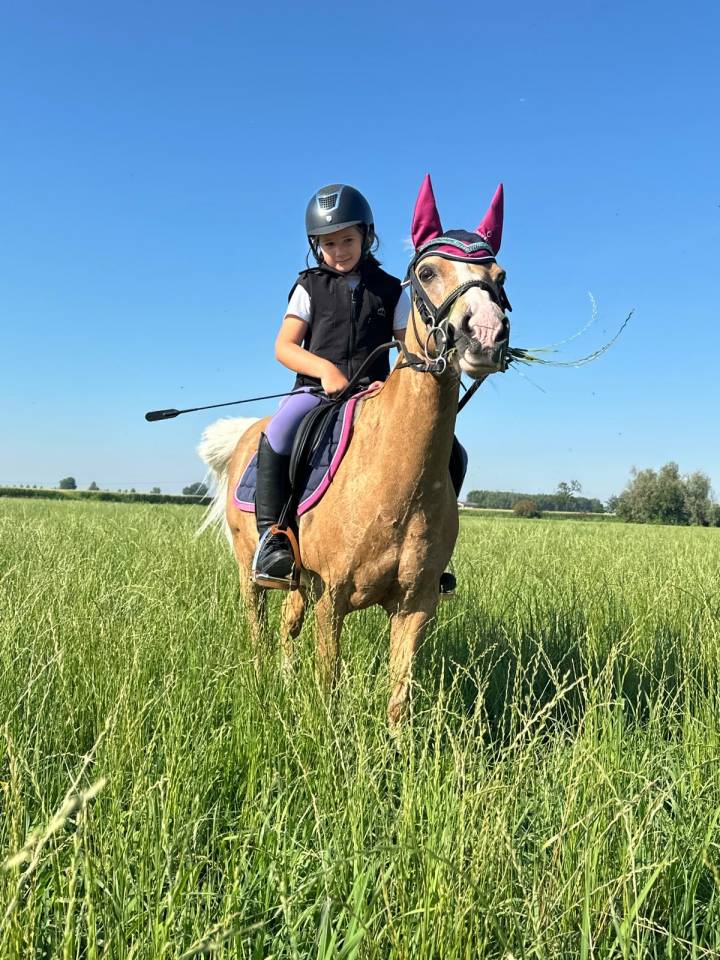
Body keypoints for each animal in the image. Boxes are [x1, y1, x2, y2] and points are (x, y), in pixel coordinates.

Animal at [198, 176, 511, 728]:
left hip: (300, 583)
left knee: (286, 627)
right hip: (251, 572)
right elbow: (329, 684)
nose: (486, 335)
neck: (395, 480)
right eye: (427, 272)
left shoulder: (415, 605)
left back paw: (283, 683)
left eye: (500, 275)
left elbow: (399, 700)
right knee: (259, 630)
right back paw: (262, 685)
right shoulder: (333, 598)